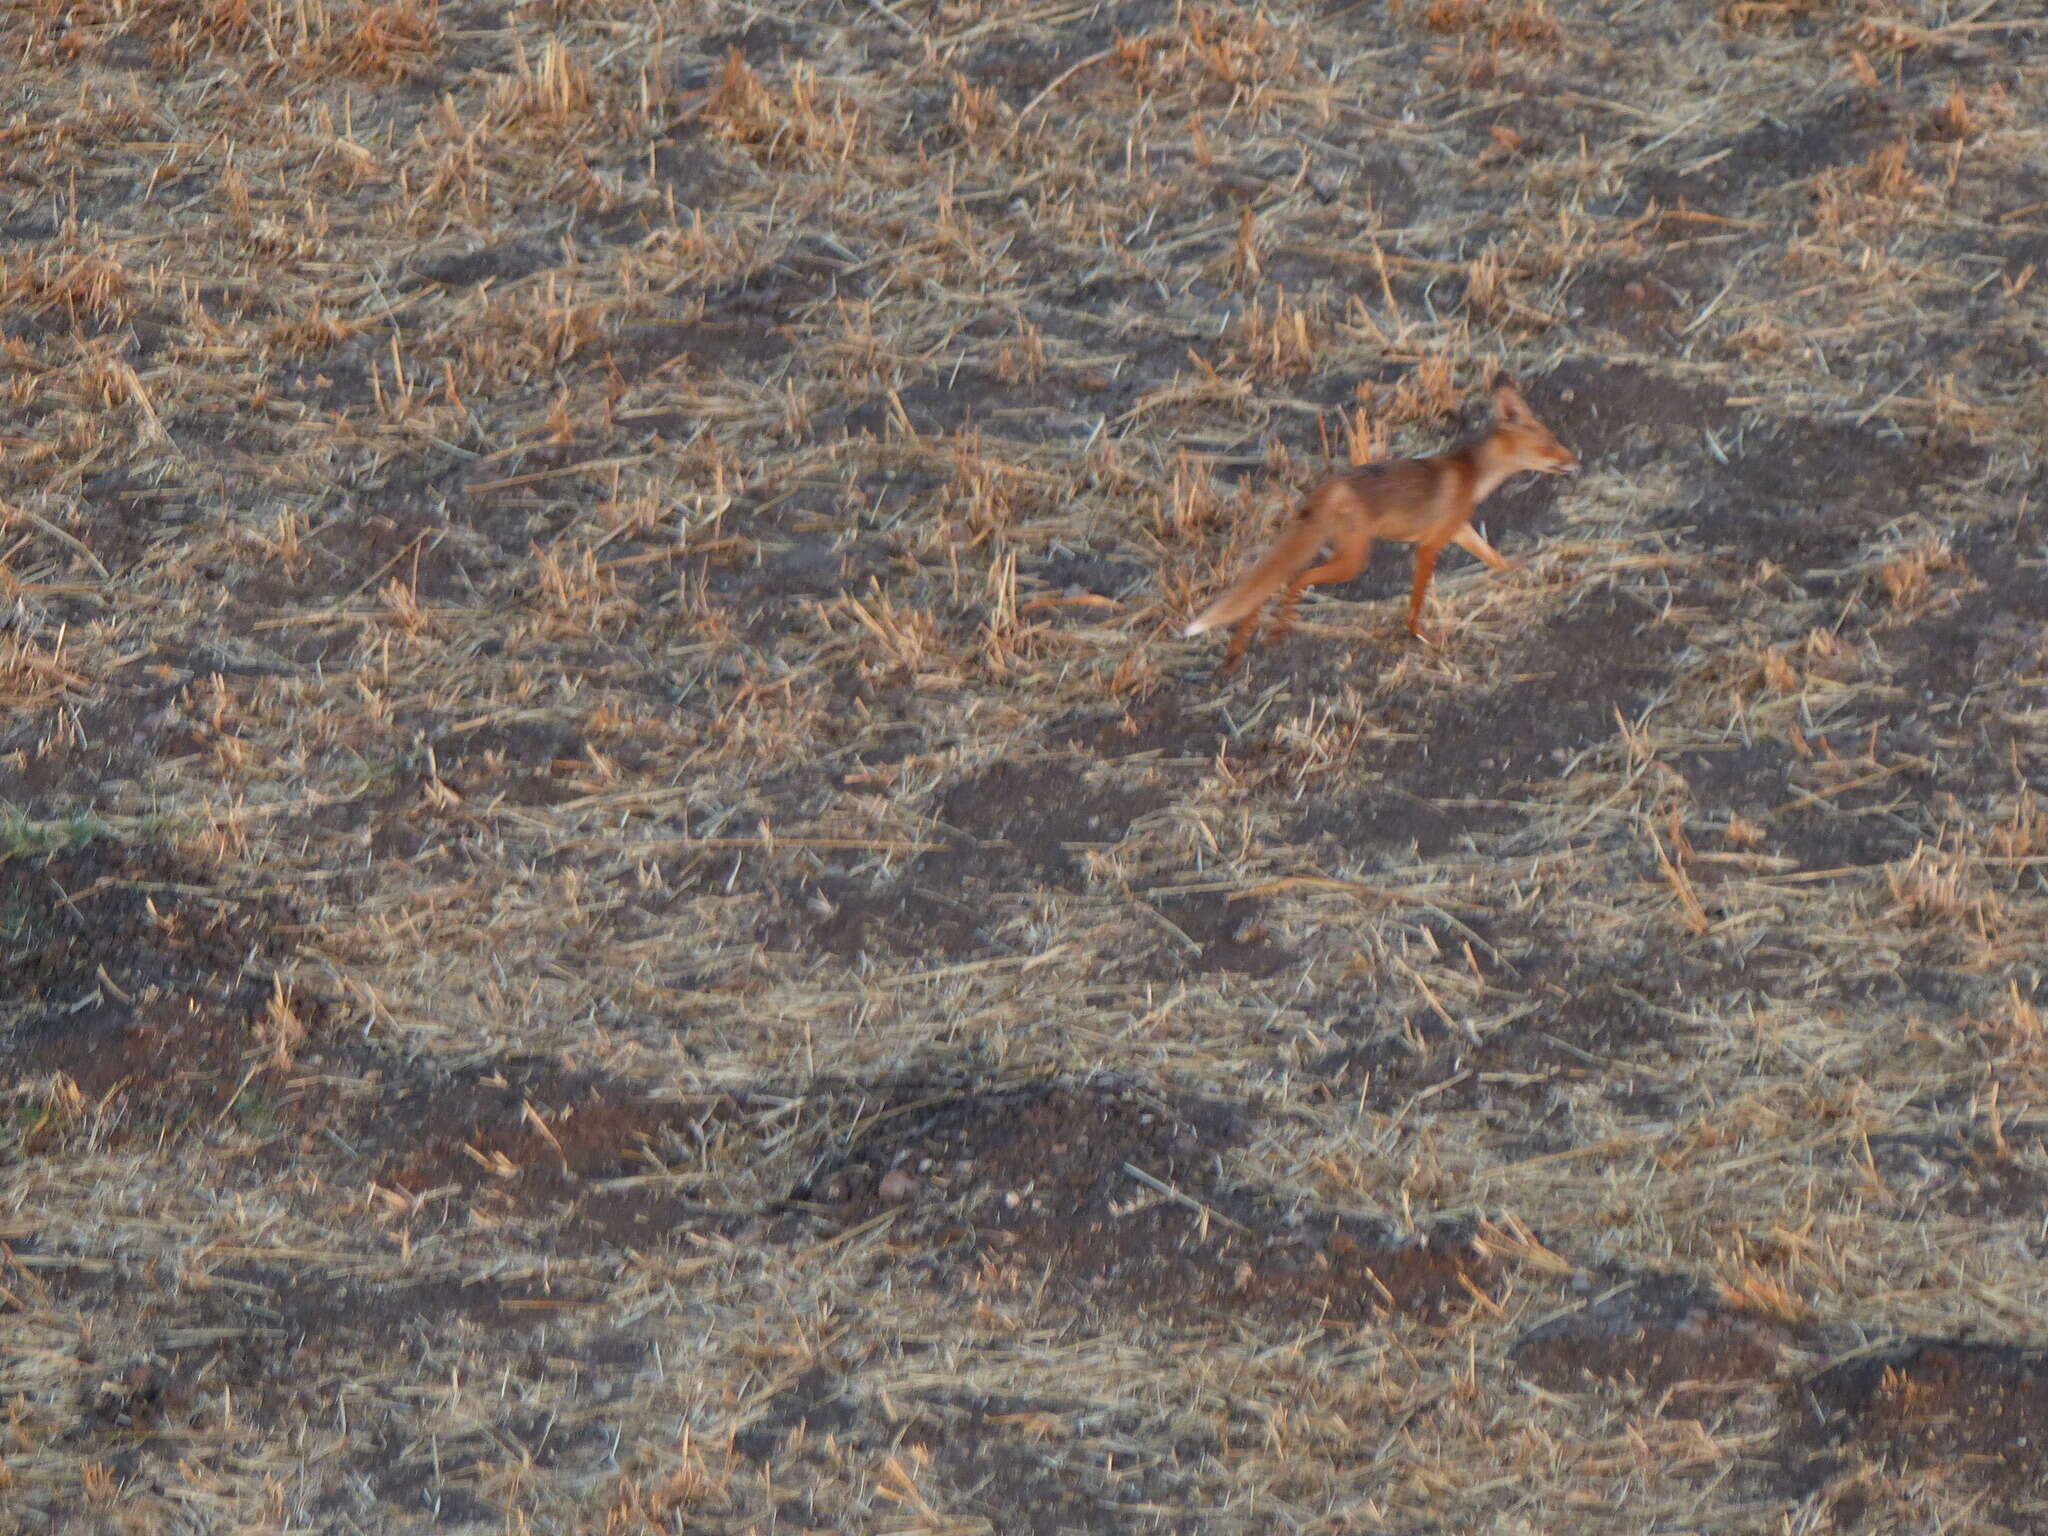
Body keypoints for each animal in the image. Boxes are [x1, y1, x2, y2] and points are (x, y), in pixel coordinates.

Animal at [1179, 374, 1572, 667]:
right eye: (1550, 444)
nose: (1576, 460)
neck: (1473, 475)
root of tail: (1331, 485)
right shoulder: (1429, 545)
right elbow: (1417, 599)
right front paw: (1417, 633)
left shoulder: (1459, 530)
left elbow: (1494, 557)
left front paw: (1523, 569)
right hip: (1354, 560)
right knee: (1295, 579)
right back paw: (1278, 629)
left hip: (1338, 552)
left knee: (1269, 586)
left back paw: (1239, 650)